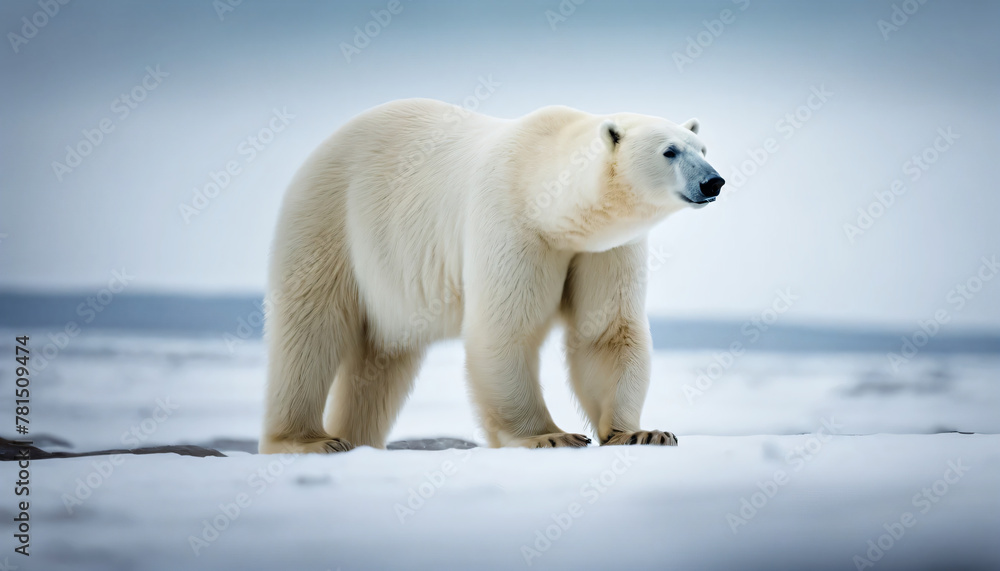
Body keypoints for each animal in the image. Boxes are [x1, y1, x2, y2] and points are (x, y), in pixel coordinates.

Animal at [259, 98, 724, 454]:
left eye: (702, 147)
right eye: (669, 151)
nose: (713, 181)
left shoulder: (603, 248)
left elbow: (605, 330)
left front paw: (643, 433)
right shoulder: (510, 222)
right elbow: (505, 327)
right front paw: (549, 436)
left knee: (382, 360)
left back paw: (358, 438)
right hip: (330, 220)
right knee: (311, 330)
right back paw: (308, 440)